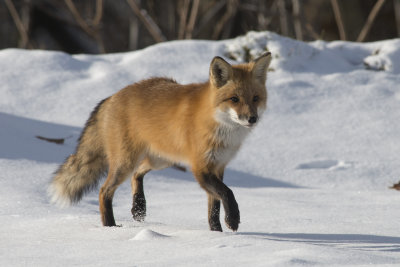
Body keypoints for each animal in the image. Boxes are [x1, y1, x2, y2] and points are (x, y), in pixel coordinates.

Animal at [49, 52, 272, 232]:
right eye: (234, 99)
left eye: (255, 98)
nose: (252, 119)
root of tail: (112, 97)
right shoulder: (201, 168)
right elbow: (227, 193)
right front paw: (233, 219)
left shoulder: (218, 166)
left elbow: (214, 207)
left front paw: (216, 232)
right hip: (126, 163)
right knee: (104, 191)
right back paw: (110, 226)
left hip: (161, 160)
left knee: (137, 174)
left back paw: (139, 207)